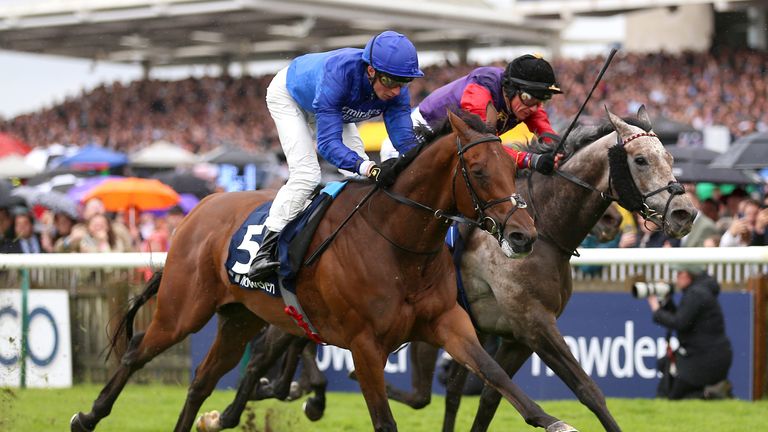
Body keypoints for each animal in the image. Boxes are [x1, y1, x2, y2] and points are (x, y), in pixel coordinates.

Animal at [70, 112, 584, 432]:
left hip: (240, 318)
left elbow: (496, 376)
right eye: (477, 170)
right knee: (137, 349)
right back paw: (87, 416)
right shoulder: (365, 345)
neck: (399, 245)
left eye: (513, 167)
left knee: (201, 379)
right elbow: (384, 420)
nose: (523, 236)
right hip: (184, 309)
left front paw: (554, 421)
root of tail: (200, 208)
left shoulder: (447, 322)